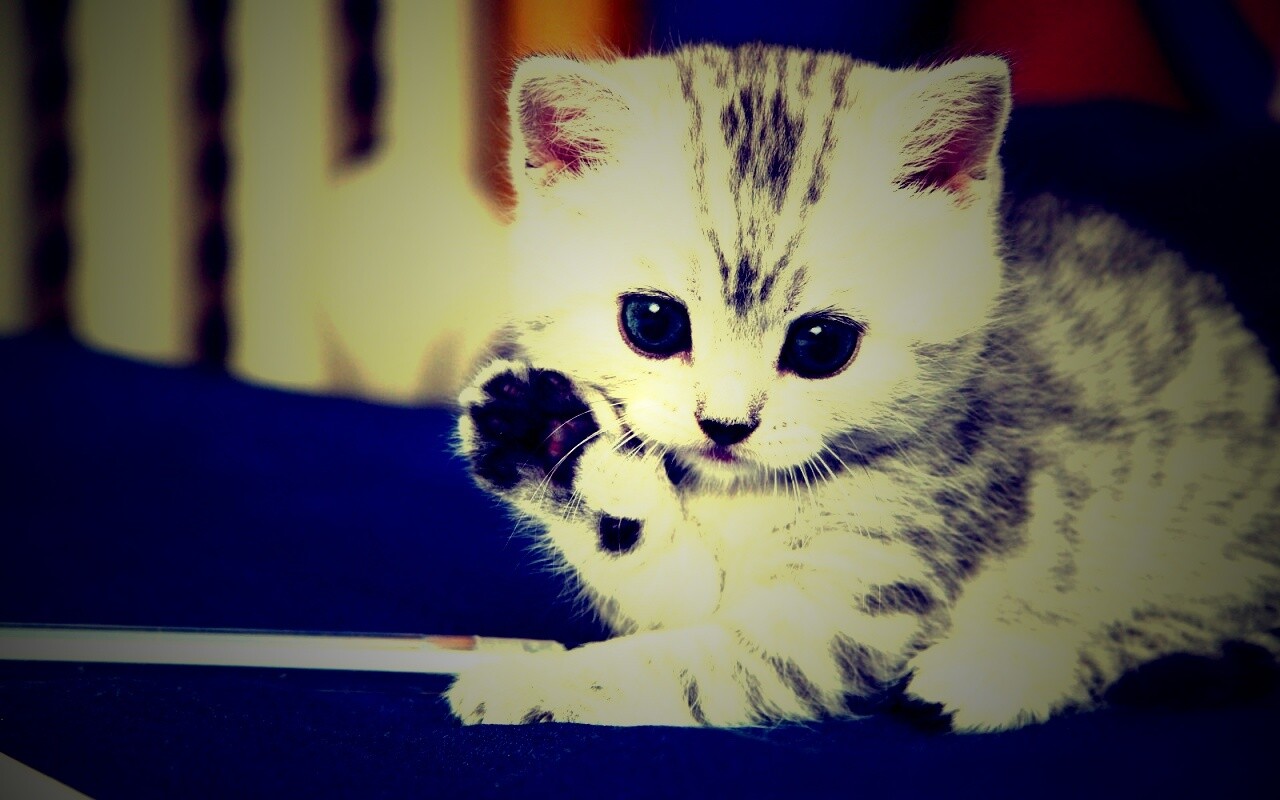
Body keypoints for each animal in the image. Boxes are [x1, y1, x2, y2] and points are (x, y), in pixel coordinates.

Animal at [445, 43, 1280, 731]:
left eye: (822, 345)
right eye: (653, 323)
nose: (726, 425)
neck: (738, 499)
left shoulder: (844, 613)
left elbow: (677, 667)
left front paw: (525, 682)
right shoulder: (700, 588)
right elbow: (666, 591)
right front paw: (556, 444)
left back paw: (994, 674)